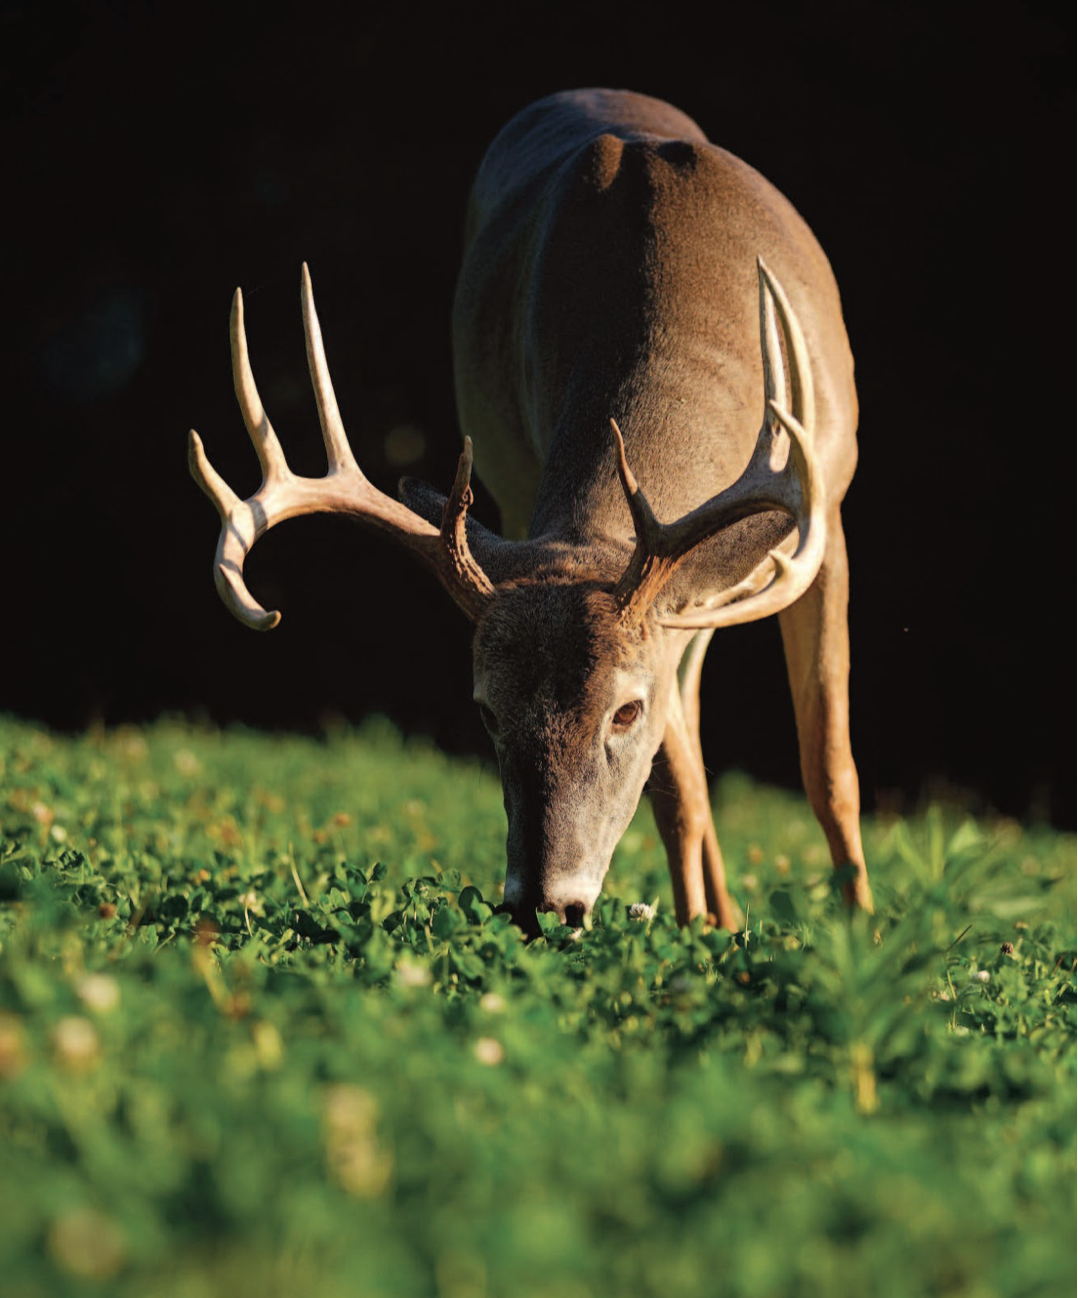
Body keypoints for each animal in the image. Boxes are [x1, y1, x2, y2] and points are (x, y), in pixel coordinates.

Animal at [189, 88, 871, 934]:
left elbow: (830, 766)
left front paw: (865, 929)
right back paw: (719, 916)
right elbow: (679, 790)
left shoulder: (821, 515)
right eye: (485, 710)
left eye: (624, 711)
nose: (543, 904)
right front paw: (697, 930)